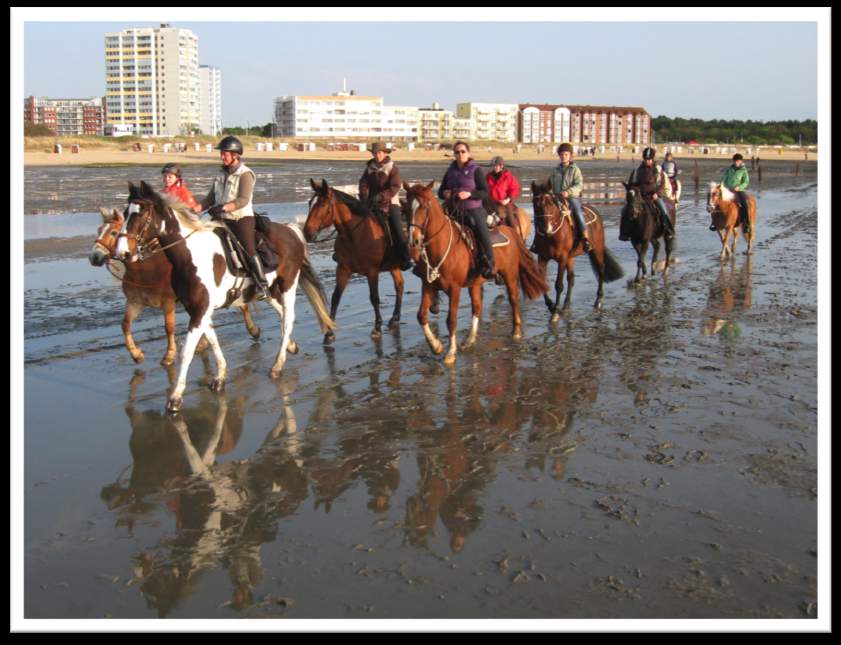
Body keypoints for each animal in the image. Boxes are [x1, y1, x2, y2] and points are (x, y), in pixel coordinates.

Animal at [88, 208, 260, 364]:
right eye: (99, 230)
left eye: (113, 233)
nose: (94, 257)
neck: (147, 268)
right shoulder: (136, 302)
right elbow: (125, 325)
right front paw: (136, 354)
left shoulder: (168, 303)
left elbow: (169, 327)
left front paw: (169, 355)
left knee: (241, 306)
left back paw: (253, 330)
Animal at [114, 180, 334, 412]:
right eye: (125, 213)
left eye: (141, 214)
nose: (121, 253)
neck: (190, 256)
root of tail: (291, 230)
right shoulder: (198, 310)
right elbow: (212, 340)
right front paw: (219, 376)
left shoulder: (200, 310)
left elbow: (187, 351)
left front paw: (175, 397)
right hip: (268, 291)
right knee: (282, 314)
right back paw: (290, 346)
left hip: (288, 285)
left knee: (288, 317)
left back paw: (277, 365)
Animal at [304, 179, 406, 344]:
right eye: (310, 203)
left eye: (323, 205)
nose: (307, 232)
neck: (357, 234)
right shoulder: (343, 269)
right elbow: (336, 298)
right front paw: (329, 332)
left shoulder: (372, 271)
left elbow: (374, 298)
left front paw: (377, 327)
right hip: (394, 266)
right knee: (399, 286)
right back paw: (395, 318)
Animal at [402, 181, 548, 364]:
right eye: (406, 208)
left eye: (425, 206)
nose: (413, 241)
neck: (441, 247)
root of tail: (510, 231)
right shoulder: (428, 286)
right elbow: (421, 315)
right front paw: (436, 346)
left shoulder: (454, 289)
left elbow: (451, 320)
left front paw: (450, 352)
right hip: (475, 283)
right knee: (477, 307)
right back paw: (469, 340)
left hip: (509, 274)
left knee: (513, 298)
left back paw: (515, 331)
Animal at [532, 180, 624, 318]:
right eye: (535, 204)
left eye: (550, 203)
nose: (545, 228)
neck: (552, 235)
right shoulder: (542, 257)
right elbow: (542, 282)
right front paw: (551, 305)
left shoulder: (562, 258)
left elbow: (559, 284)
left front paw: (555, 310)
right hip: (571, 257)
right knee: (571, 278)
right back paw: (566, 306)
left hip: (596, 249)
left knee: (601, 270)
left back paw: (598, 301)